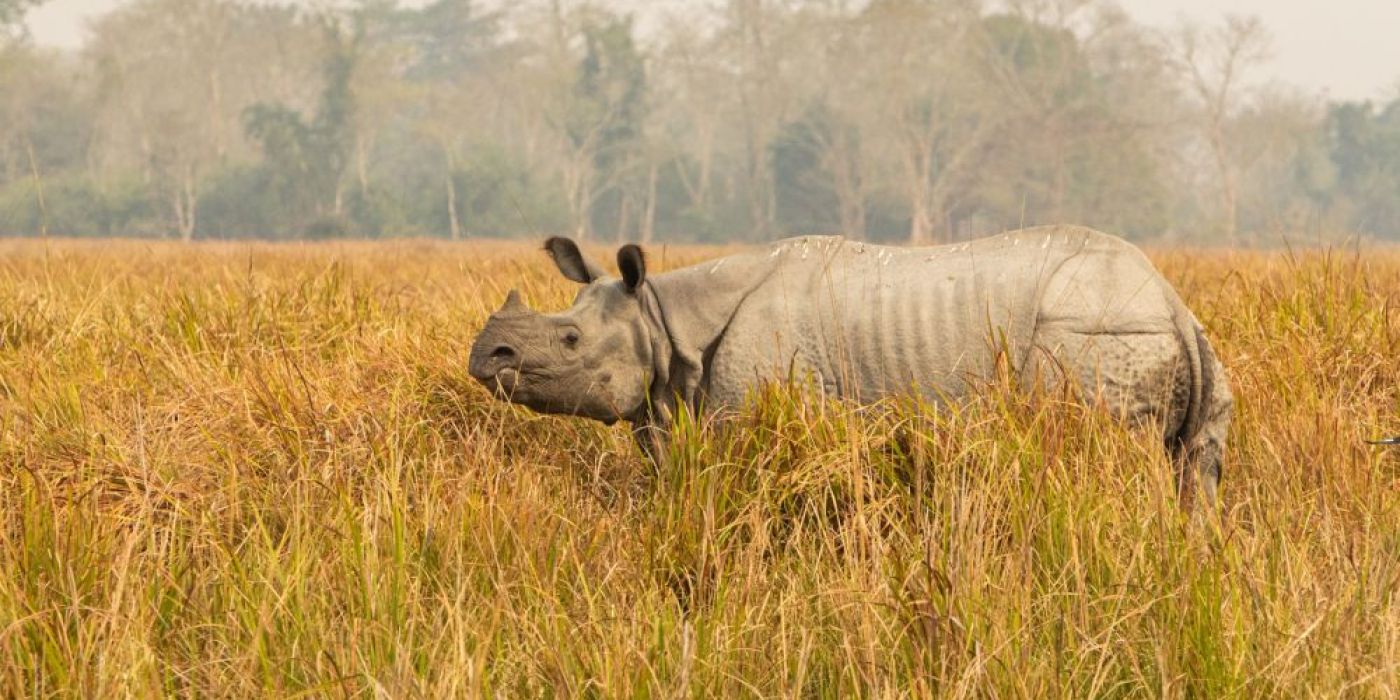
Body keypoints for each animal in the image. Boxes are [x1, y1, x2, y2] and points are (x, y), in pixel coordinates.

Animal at [468, 225, 1233, 506]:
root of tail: (1172, 300)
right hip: (1164, 339)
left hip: (1094, 334)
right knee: (1197, 473)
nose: (485, 355)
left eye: (569, 340)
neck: (662, 319)